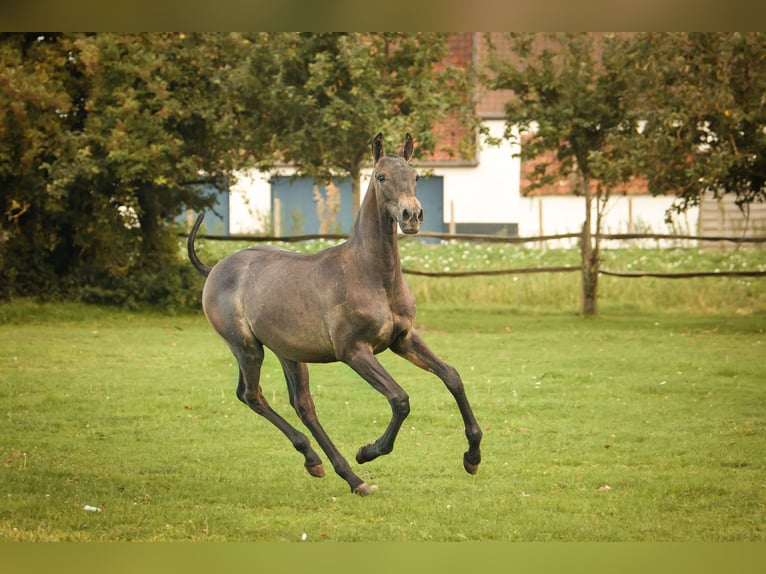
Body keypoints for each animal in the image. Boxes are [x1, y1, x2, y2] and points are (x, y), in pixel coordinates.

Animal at [188, 133, 482, 495]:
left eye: (416, 176)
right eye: (381, 176)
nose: (411, 214)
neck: (370, 275)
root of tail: (214, 269)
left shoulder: (403, 339)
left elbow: (452, 377)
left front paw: (472, 457)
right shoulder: (353, 351)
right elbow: (400, 399)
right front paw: (368, 451)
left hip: (288, 353)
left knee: (302, 405)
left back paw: (326, 467)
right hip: (246, 347)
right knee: (253, 395)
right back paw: (348, 472)